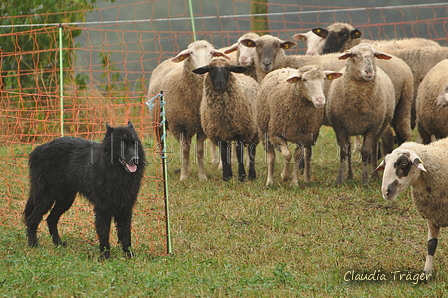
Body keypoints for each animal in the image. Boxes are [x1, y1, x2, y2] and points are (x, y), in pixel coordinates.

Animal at [23, 121, 145, 258]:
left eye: (134, 144)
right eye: (122, 144)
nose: (135, 160)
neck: (115, 173)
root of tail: (38, 149)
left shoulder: (125, 208)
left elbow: (125, 234)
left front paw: (129, 255)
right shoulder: (103, 209)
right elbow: (104, 233)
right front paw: (105, 256)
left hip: (65, 200)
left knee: (51, 219)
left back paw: (58, 243)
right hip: (46, 198)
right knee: (32, 219)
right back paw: (33, 244)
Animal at [148, 40, 229, 180]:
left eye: (211, 52)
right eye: (191, 53)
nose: (202, 71)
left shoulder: (201, 127)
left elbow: (199, 150)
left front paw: (202, 176)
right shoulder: (179, 125)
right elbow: (185, 150)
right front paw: (184, 176)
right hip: (158, 123)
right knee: (163, 146)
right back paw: (165, 170)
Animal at [326, 42, 396, 184]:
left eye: (374, 55)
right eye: (353, 55)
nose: (369, 71)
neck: (358, 104)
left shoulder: (371, 127)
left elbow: (365, 152)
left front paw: (365, 179)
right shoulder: (340, 127)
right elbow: (343, 152)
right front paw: (339, 179)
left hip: (381, 126)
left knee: (374, 147)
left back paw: (374, 174)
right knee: (348, 149)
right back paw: (350, 175)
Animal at [376, 136, 448, 278]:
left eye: (403, 164)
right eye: (385, 164)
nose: (386, 192)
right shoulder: (433, 216)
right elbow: (431, 244)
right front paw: (426, 273)